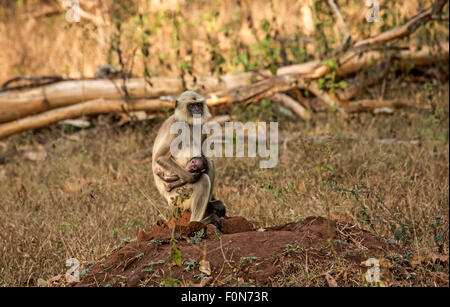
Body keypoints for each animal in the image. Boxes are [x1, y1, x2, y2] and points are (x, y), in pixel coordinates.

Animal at [153, 90, 227, 230]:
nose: (197, 110)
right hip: (178, 198)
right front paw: (193, 176)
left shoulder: (201, 127)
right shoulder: (175, 126)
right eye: (191, 106)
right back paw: (197, 223)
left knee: (210, 163)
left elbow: (204, 158)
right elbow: (160, 157)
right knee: (203, 180)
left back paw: (210, 204)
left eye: (198, 104)